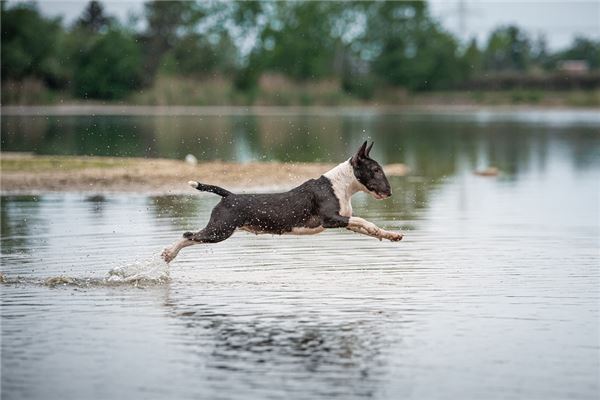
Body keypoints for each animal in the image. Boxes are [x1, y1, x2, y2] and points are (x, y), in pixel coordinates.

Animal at [159, 141, 404, 262]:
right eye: (375, 170)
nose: (390, 192)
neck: (340, 185)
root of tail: (229, 195)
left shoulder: (344, 220)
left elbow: (366, 226)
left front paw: (390, 235)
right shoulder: (330, 219)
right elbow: (363, 220)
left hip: (220, 229)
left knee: (191, 237)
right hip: (220, 230)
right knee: (188, 235)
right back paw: (169, 253)